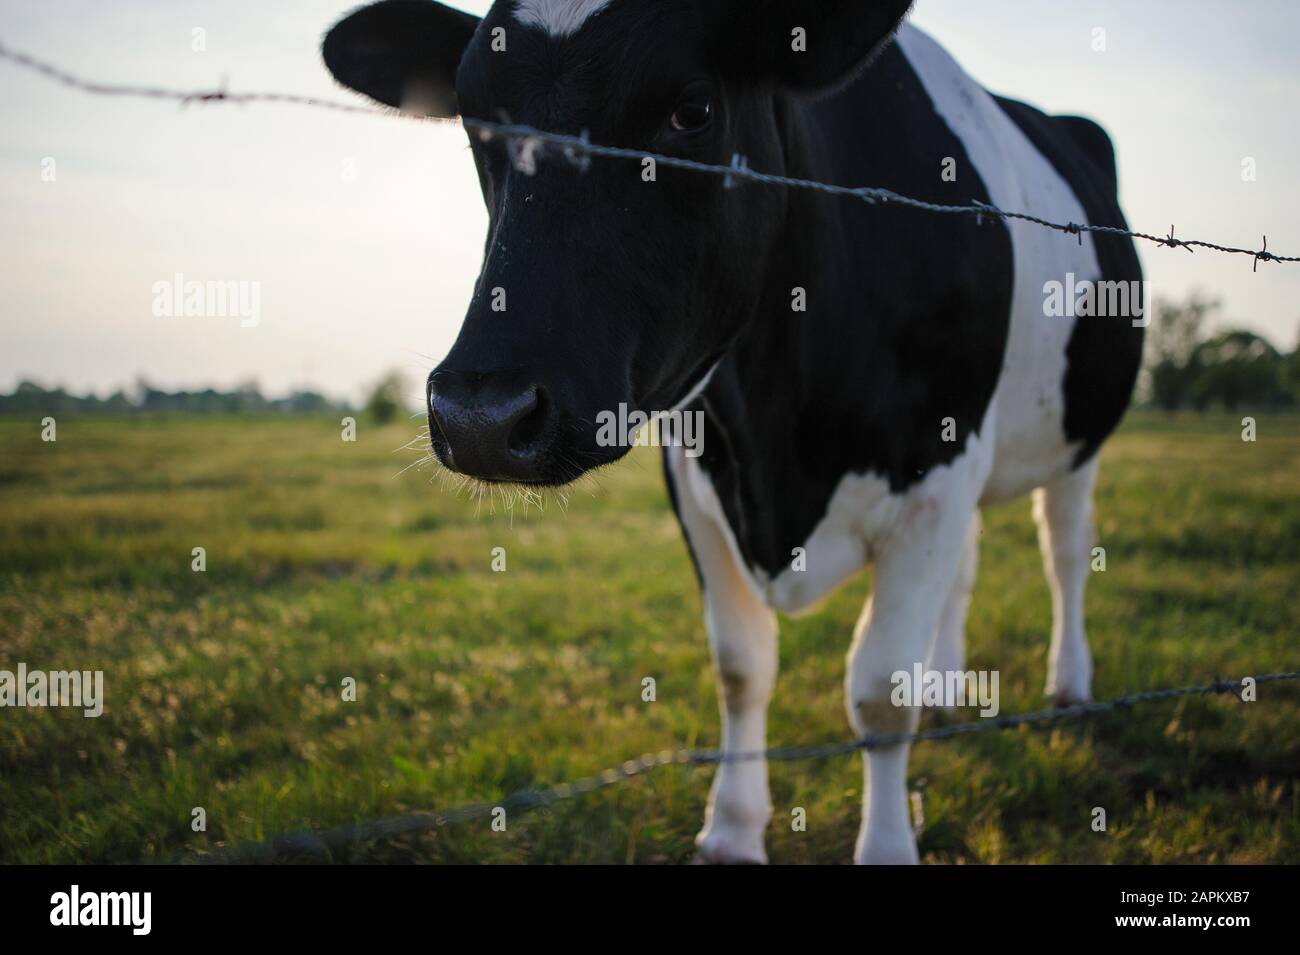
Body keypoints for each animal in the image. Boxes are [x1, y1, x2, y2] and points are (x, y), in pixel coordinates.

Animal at [322, 0, 1144, 864]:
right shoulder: (697, 474)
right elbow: (741, 665)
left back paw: (1069, 684)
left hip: (1078, 441)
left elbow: (881, 691)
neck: (780, 441)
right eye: (477, 121)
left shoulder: (936, 464)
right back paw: (950, 686)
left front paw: (886, 842)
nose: (480, 416)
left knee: (1064, 553)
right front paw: (732, 829)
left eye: (692, 110)